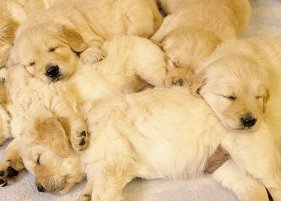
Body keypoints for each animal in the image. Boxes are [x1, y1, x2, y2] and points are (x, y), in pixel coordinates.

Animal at [10, 0, 163, 82]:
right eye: (31, 64)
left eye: (53, 49)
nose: (51, 71)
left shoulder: (89, 34)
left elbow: (89, 45)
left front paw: (91, 55)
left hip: (136, 22)